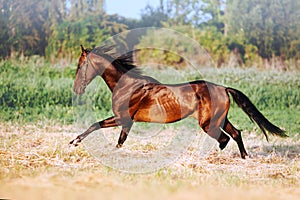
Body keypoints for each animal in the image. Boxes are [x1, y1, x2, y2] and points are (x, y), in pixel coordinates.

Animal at [69, 44, 288, 159]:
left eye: (80, 66)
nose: (76, 89)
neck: (128, 86)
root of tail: (224, 88)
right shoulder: (126, 121)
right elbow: (117, 139)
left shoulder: (123, 118)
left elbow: (100, 127)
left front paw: (74, 141)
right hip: (220, 119)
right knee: (235, 134)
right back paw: (244, 157)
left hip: (208, 123)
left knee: (224, 139)